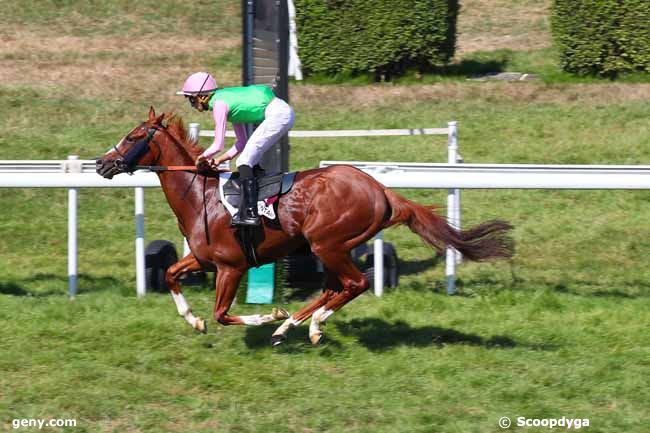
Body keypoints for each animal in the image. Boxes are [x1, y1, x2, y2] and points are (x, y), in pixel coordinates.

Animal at [96, 108, 512, 344]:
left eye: (133, 137)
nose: (101, 163)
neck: (203, 197)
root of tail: (380, 189)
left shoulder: (232, 266)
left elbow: (222, 313)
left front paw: (268, 315)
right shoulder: (202, 259)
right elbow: (169, 274)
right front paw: (193, 320)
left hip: (328, 243)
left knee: (355, 284)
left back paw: (305, 325)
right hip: (330, 248)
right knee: (334, 287)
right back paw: (296, 326)